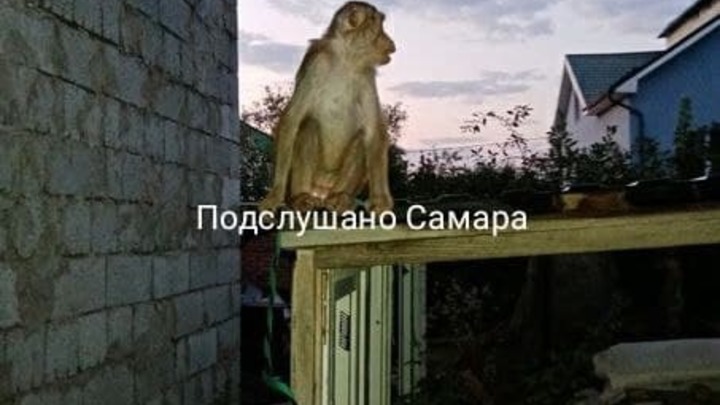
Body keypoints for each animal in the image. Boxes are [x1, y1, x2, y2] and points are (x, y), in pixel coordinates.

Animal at [258, 1, 396, 214]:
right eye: (379, 26)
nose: (390, 42)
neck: (346, 60)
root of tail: (322, 189)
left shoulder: (367, 75)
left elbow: (374, 131)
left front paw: (381, 199)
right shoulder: (317, 64)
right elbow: (292, 120)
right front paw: (275, 195)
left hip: (336, 181)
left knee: (360, 140)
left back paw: (341, 197)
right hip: (313, 177)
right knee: (308, 126)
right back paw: (301, 196)